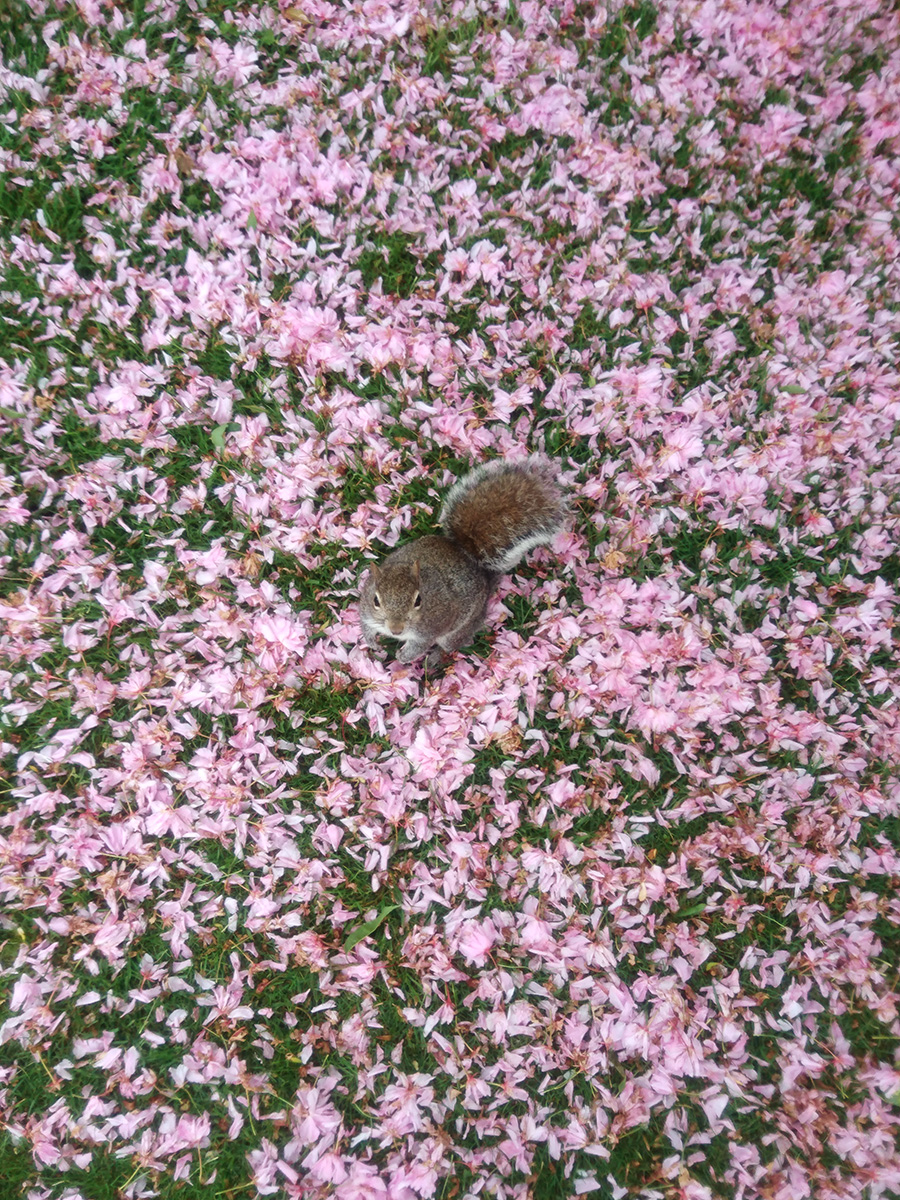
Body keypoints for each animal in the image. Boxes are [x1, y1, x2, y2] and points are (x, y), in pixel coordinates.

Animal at [360, 456, 564, 672]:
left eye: (418, 601)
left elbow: (421, 644)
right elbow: (365, 624)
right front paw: (372, 641)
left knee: (450, 645)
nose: (396, 630)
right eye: (375, 600)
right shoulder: (366, 608)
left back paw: (433, 657)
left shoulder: (433, 626)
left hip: (459, 629)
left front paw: (404, 656)